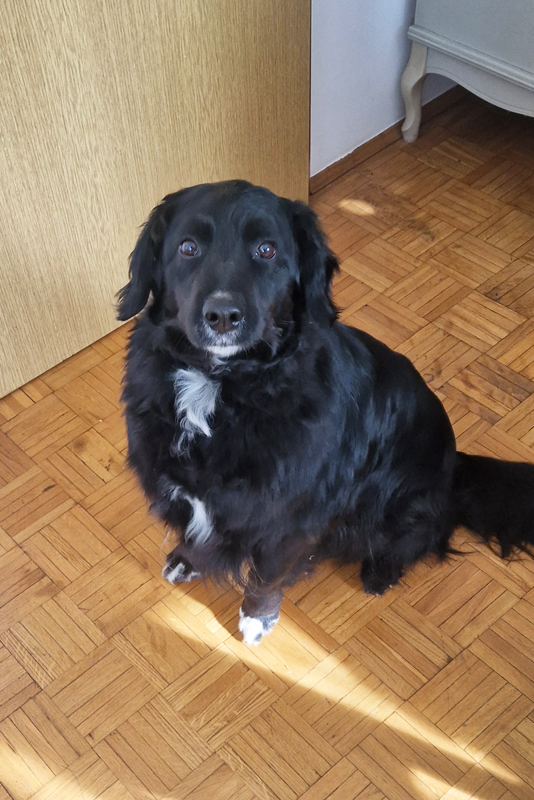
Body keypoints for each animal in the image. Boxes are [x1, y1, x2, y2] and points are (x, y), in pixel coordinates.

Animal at [118, 180, 534, 645]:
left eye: (266, 249)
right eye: (188, 247)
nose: (223, 315)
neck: (221, 386)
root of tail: (455, 461)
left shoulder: (292, 521)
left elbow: (267, 575)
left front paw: (256, 618)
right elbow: (196, 531)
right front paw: (188, 559)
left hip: (401, 505)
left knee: (424, 532)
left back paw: (381, 570)